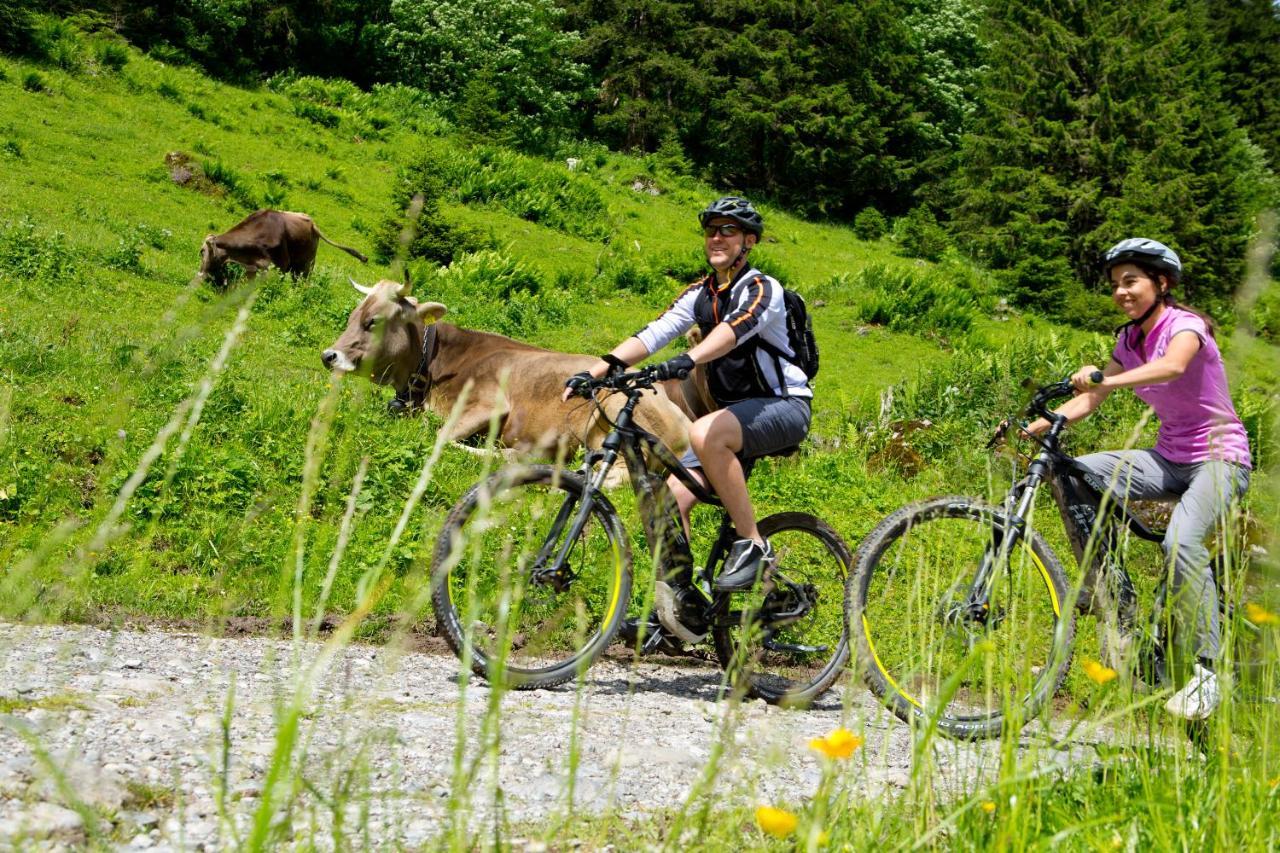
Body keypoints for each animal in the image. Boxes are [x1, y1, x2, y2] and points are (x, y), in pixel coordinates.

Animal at [194, 208, 368, 285]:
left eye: (202, 251)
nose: (200, 275)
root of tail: (312, 223)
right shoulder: (254, 267)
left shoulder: (280, 265)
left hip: (305, 265)